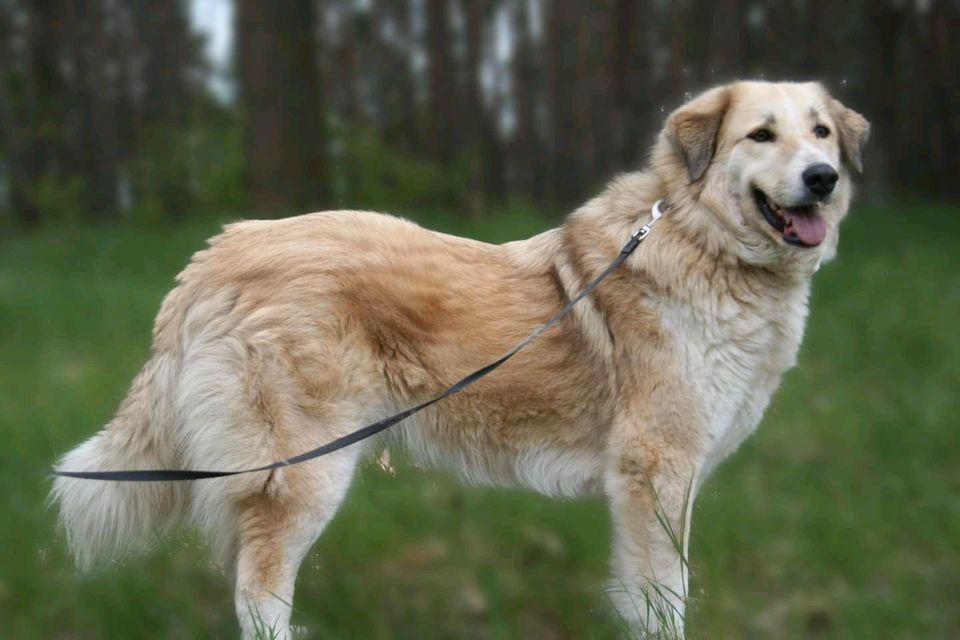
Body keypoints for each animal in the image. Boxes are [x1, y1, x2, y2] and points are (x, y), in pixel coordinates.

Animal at [52, 82, 872, 636]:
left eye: (821, 134)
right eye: (761, 135)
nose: (823, 178)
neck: (705, 244)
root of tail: (215, 256)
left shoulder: (655, 483)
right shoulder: (657, 470)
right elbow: (665, 596)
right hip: (304, 472)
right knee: (258, 591)